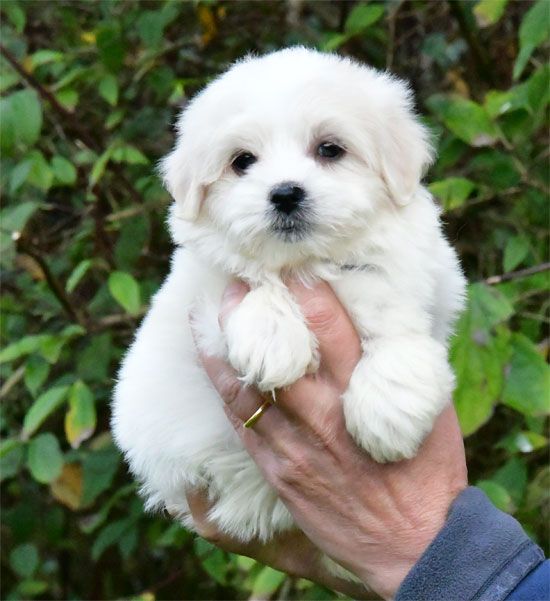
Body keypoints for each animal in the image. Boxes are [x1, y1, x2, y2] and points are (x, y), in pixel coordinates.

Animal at [111, 50, 466, 548]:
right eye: (242, 161)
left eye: (330, 149)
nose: (284, 193)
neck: (307, 263)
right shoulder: (198, 297)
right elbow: (250, 286)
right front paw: (273, 341)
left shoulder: (427, 280)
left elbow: (395, 317)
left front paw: (387, 413)